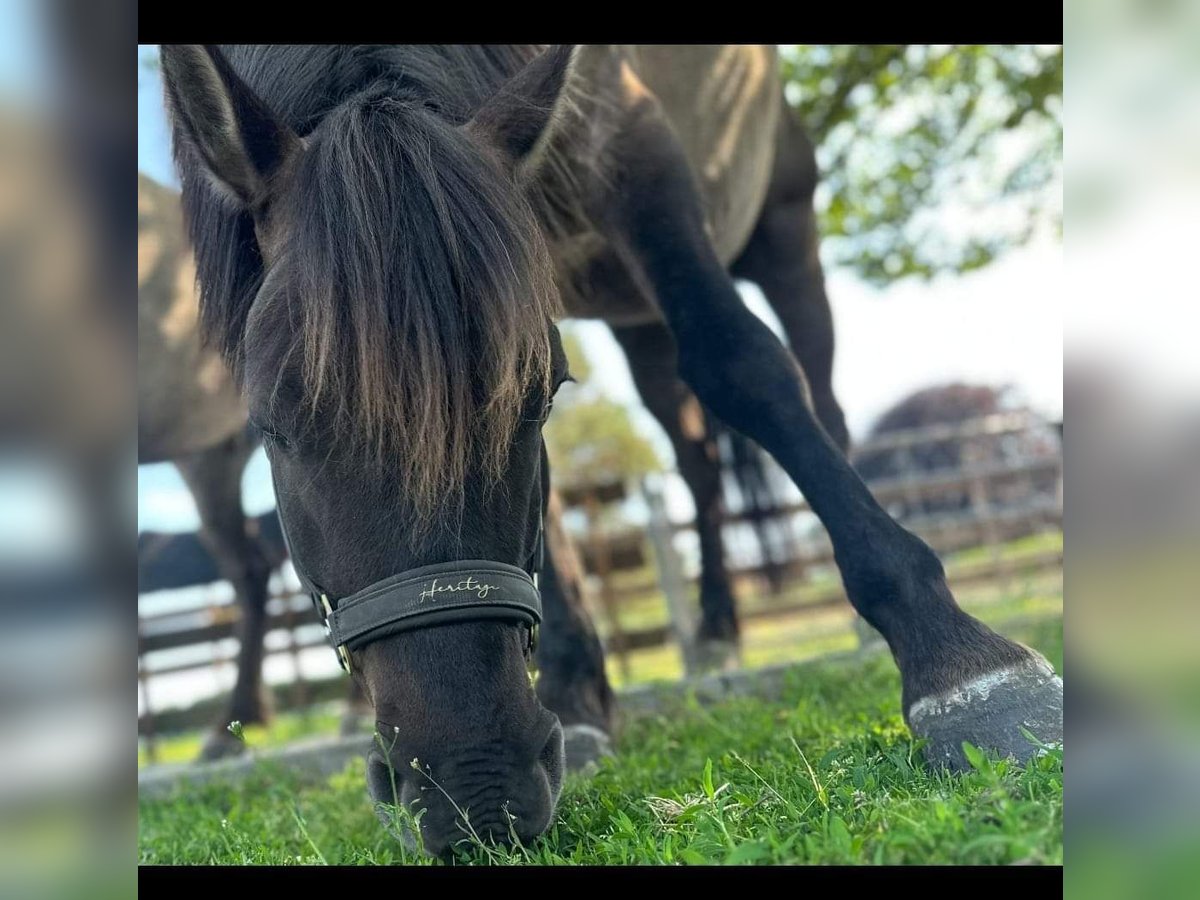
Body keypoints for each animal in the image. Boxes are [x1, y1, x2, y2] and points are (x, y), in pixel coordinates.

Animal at [157, 44, 1060, 859]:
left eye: (542, 395)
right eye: (271, 422)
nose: (475, 790)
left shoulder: (635, 146)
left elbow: (740, 360)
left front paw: (962, 664)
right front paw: (581, 695)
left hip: (783, 228)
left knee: (817, 400)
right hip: (633, 316)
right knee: (696, 463)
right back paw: (715, 630)